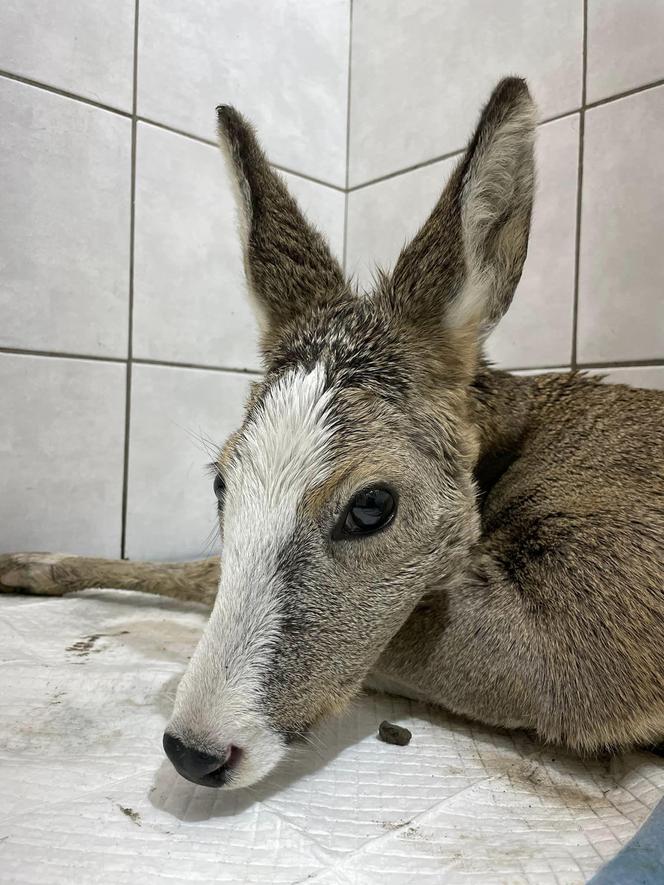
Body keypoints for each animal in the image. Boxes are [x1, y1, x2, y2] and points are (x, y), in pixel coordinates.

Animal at [1, 79, 664, 792]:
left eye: (373, 505)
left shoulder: (596, 629)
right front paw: (29, 562)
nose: (194, 752)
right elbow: (206, 571)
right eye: (220, 482)